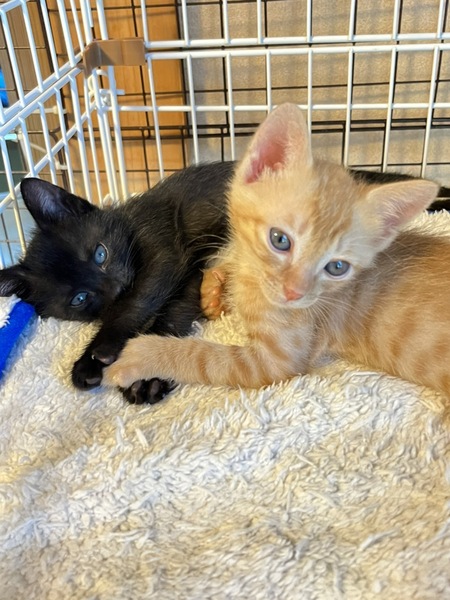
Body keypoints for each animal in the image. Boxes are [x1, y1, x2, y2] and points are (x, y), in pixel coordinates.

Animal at [103, 102, 450, 401]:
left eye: (337, 267)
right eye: (280, 240)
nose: (294, 293)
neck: (253, 282)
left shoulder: (275, 361)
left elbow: (202, 357)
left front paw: (140, 354)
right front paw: (213, 290)